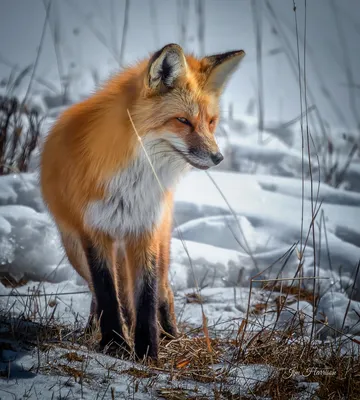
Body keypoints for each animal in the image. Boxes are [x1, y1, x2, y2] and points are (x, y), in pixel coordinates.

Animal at [40, 43, 246, 360]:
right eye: (183, 120)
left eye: (211, 122)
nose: (218, 157)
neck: (132, 182)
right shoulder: (93, 232)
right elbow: (107, 293)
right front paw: (114, 343)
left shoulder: (145, 229)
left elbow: (146, 297)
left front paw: (148, 351)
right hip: (74, 248)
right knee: (101, 293)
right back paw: (97, 329)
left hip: (159, 240)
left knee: (164, 292)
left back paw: (170, 333)